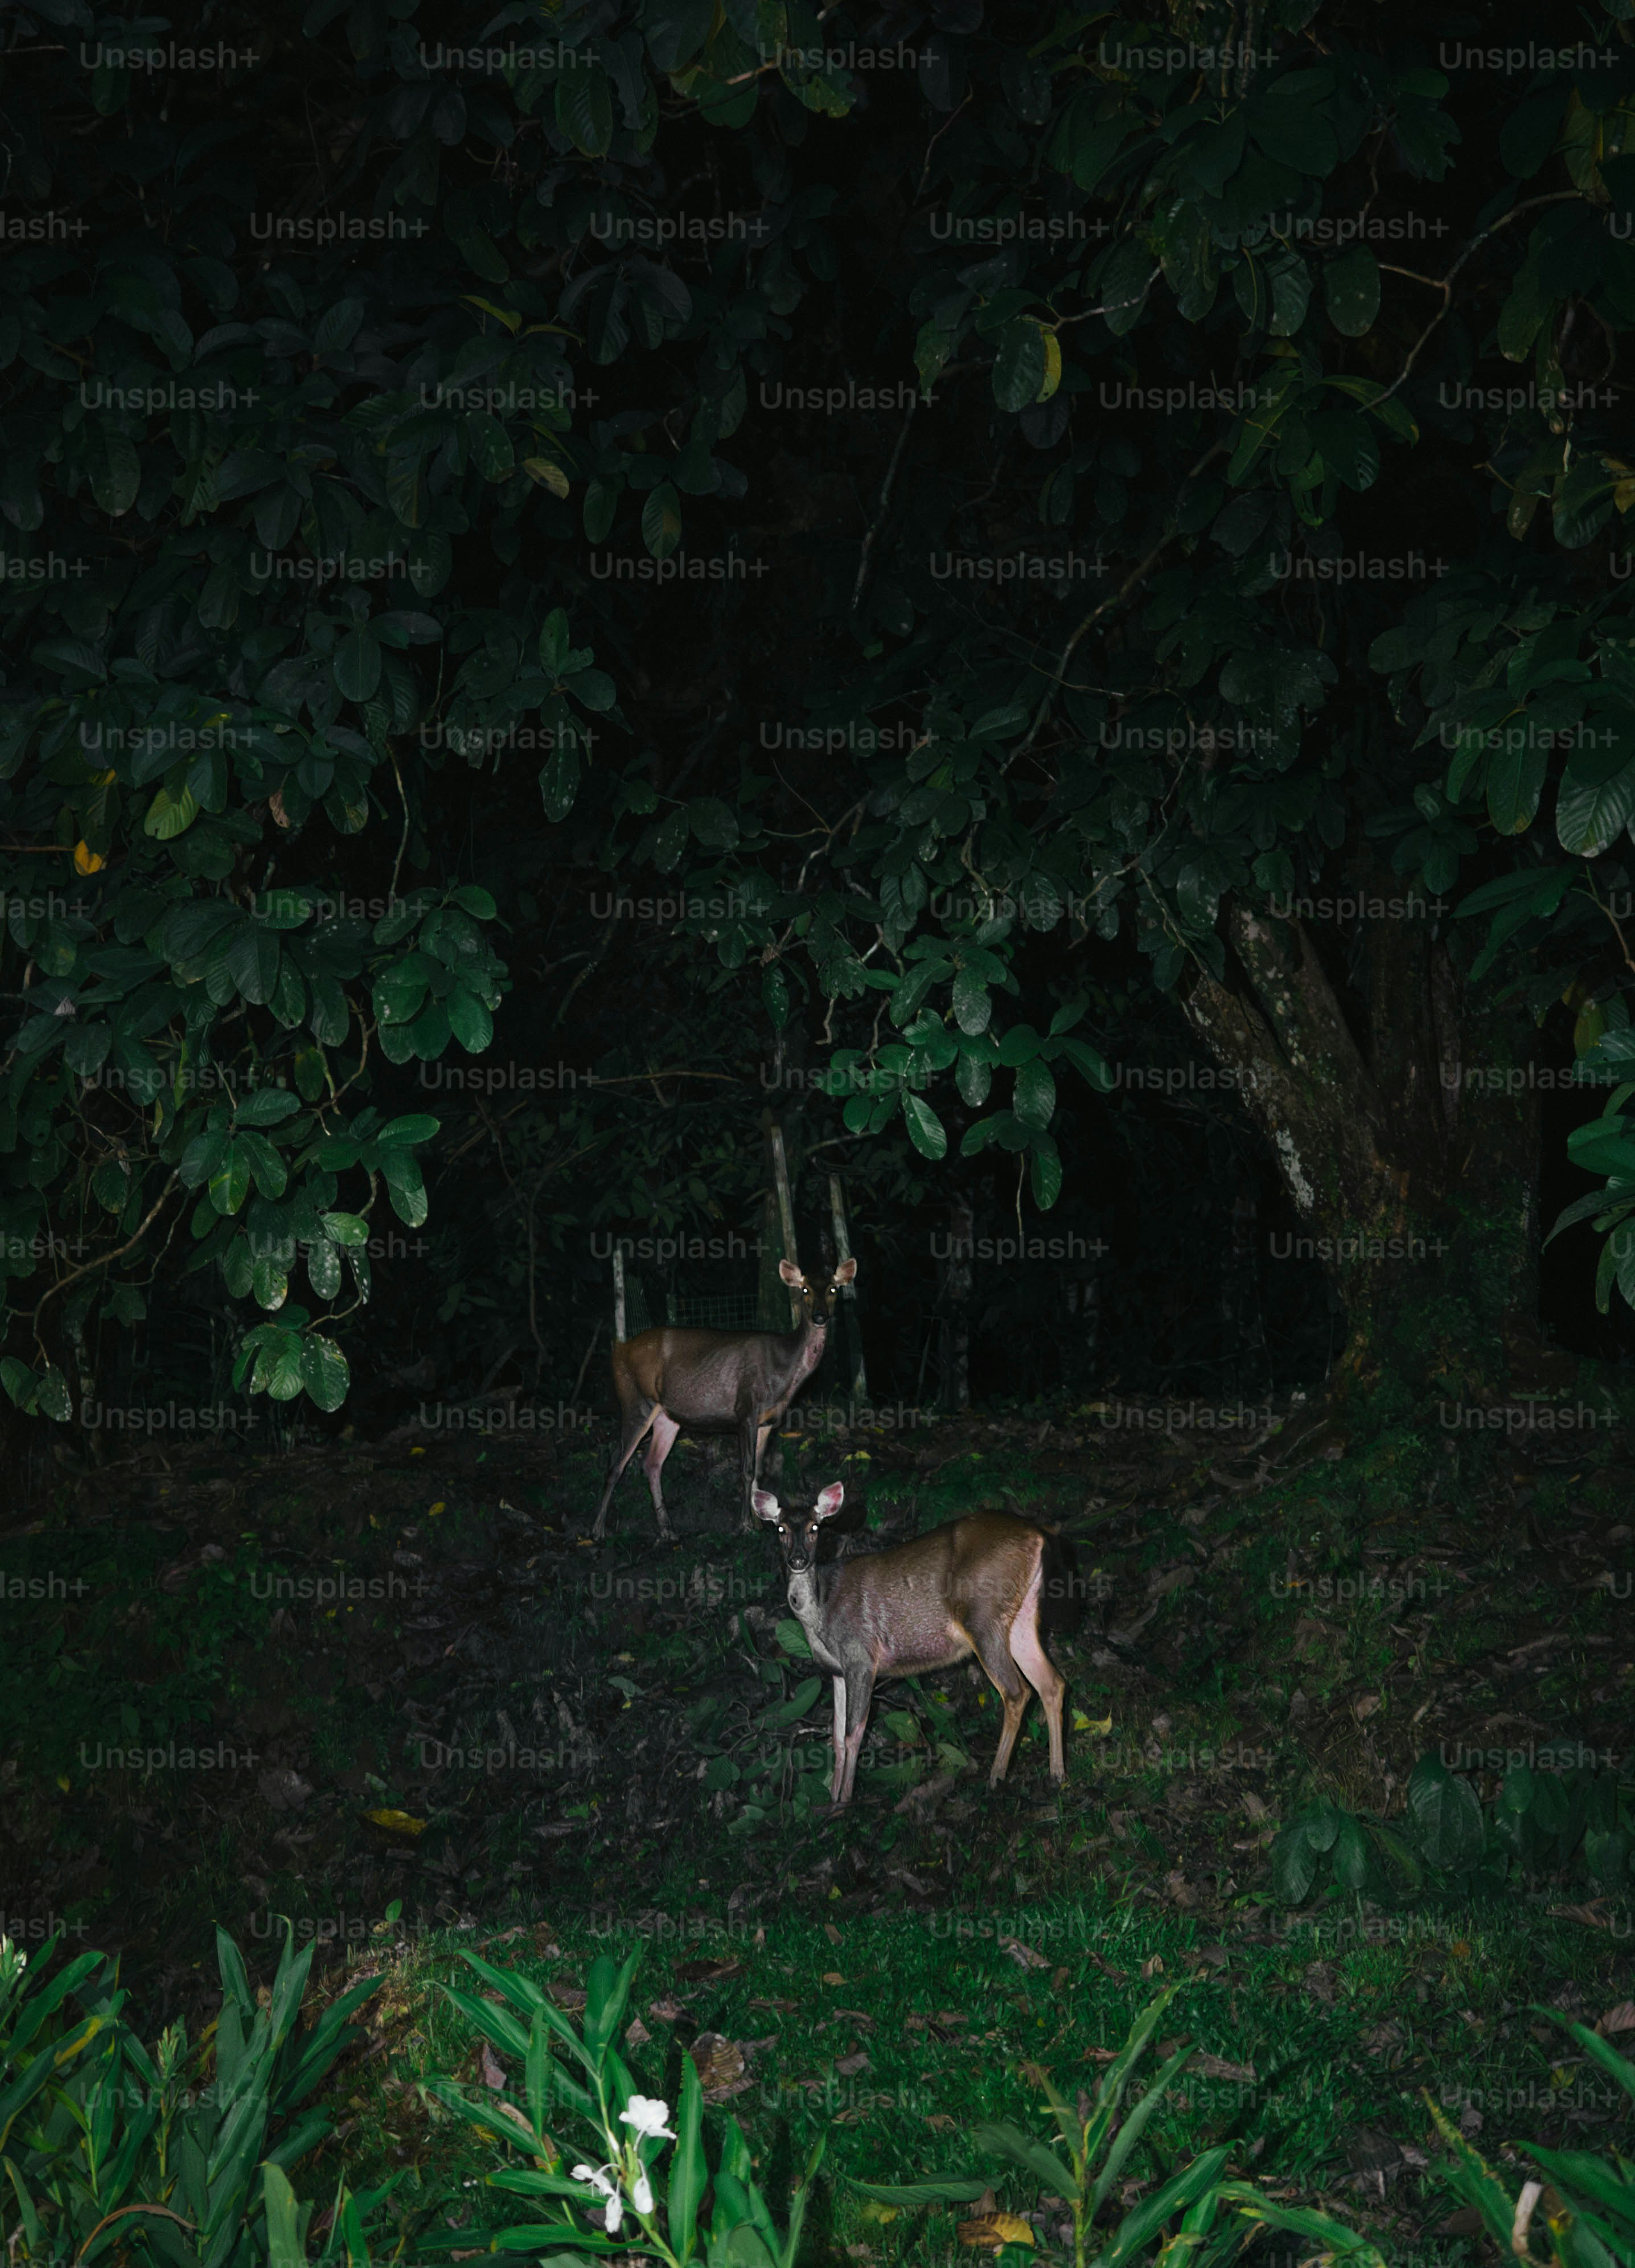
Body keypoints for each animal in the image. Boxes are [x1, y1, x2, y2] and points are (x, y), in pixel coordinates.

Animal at [590, 1257, 856, 1541]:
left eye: (832, 1289)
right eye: (805, 1289)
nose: (820, 1316)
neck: (784, 1373)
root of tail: (618, 1350)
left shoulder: (769, 1421)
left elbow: (759, 1471)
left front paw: (760, 1523)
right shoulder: (746, 1409)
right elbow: (747, 1470)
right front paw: (744, 1525)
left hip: (667, 1415)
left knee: (651, 1463)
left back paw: (668, 1530)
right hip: (636, 1399)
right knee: (617, 1461)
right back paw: (597, 1530)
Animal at [752, 1479, 1067, 1806]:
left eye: (815, 1527)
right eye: (780, 1529)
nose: (798, 1560)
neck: (820, 1614)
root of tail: (1038, 1534)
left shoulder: (861, 1656)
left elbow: (854, 1733)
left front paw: (846, 1800)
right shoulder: (836, 1670)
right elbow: (836, 1737)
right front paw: (833, 1797)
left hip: (983, 1617)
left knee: (1017, 1692)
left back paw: (996, 1778)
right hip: (1021, 1616)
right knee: (1052, 1683)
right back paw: (1057, 1775)